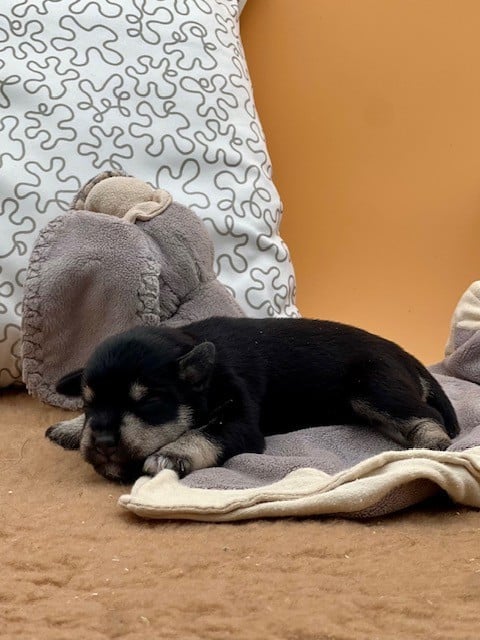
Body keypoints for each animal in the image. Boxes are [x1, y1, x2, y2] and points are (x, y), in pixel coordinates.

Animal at [46, 317, 459, 483]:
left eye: (147, 402)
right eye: (88, 404)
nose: (101, 441)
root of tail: (402, 352)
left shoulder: (240, 422)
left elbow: (204, 433)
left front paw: (173, 453)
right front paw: (71, 428)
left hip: (373, 387)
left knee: (423, 413)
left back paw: (432, 440)